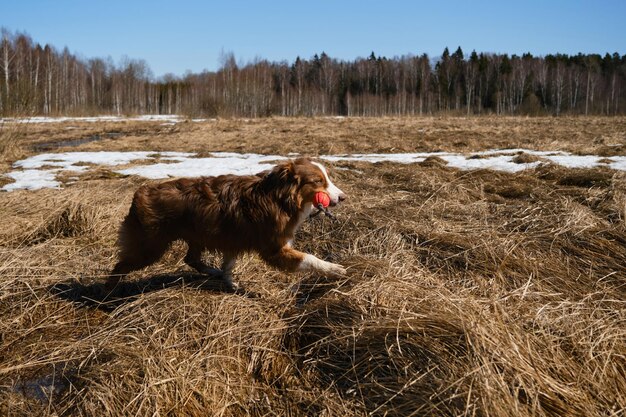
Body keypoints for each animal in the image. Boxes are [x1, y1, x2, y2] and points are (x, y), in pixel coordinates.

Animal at [106, 156, 346, 290]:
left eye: (328, 179)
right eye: (318, 182)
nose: (343, 197)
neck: (279, 196)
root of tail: (140, 192)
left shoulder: (234, 238)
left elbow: (229, 263)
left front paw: (229, 282)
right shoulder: (274, 249)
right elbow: (310, 258)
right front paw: (334, 269)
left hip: (197, 235)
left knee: (191, 259)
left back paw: (213, 272)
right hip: (149, 247)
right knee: (119, 266)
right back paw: (109, 295)